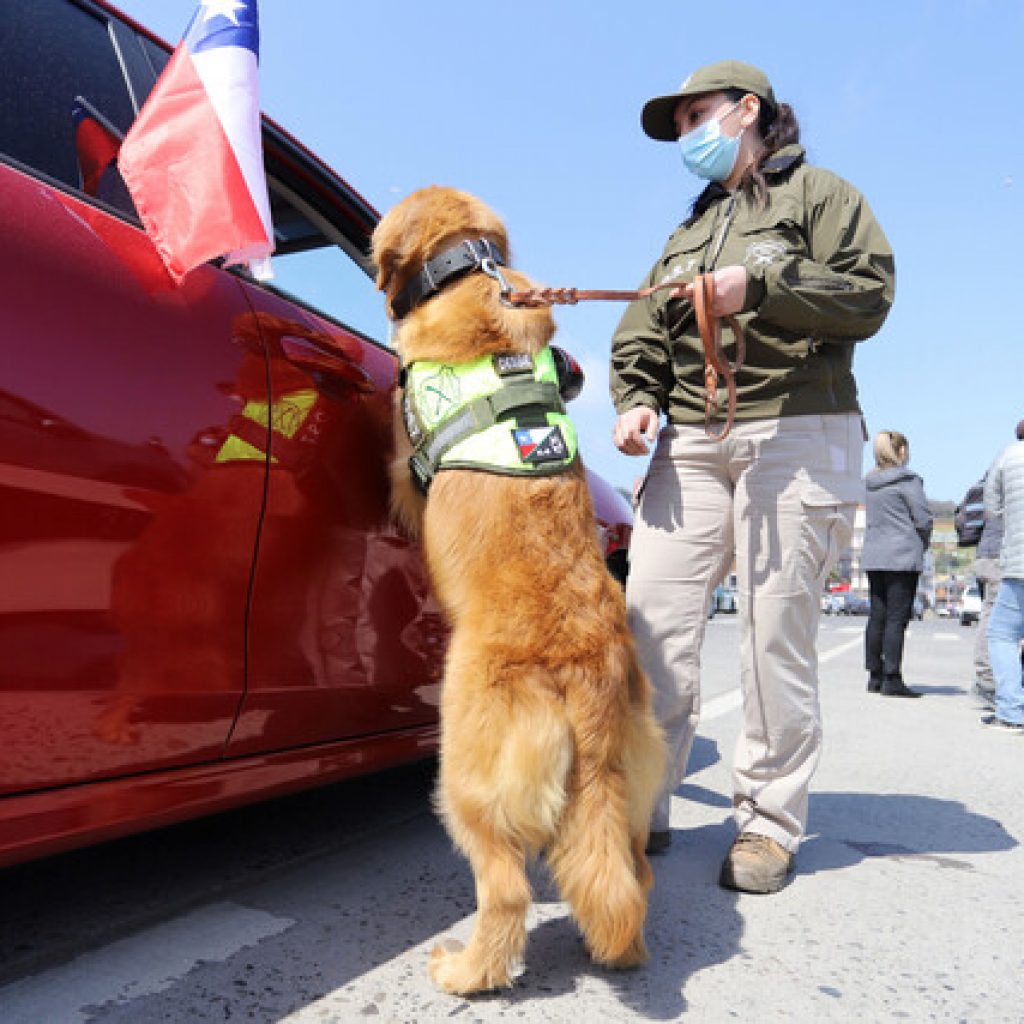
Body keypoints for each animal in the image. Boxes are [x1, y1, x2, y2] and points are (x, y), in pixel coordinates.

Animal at [372, 188, 667, 995]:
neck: (468, 273)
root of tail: (589, 674)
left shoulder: (404, 469)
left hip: (466, 781)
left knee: (505, 892)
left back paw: (465, 970)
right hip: (630, 783)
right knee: (630, 881)